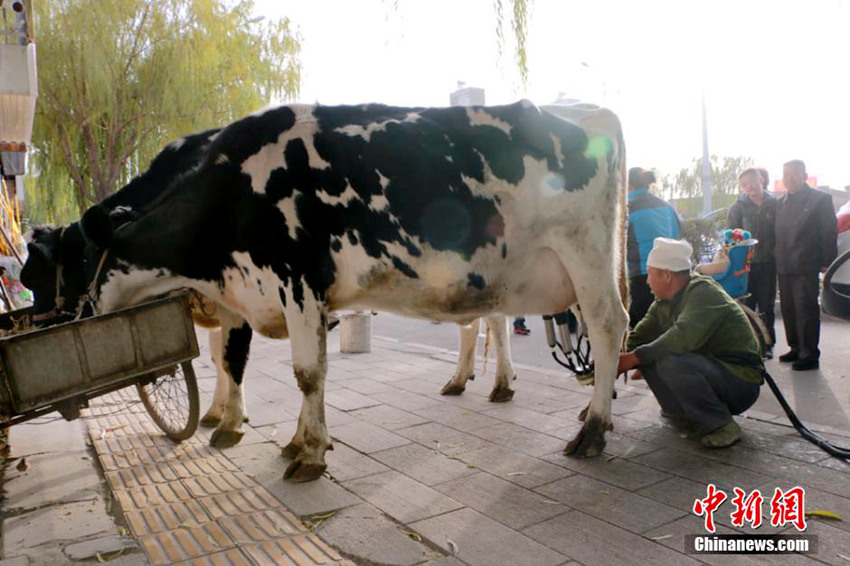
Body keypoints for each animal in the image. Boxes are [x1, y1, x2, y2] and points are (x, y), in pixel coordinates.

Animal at [69, 102, 628, 484]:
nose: (76, 316)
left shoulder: (297, 282)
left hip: (585, 251)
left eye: (77, 260)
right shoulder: (286, 298)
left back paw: (593, 429)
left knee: (608, 325)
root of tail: (590, 111)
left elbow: (305, 372)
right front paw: (297, 442)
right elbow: (300, 369)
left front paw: (309, 453)